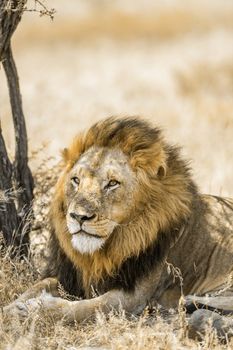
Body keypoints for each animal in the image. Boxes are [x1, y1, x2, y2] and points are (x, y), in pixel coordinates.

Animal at [3, 115, 233, 330]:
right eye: (76, 180)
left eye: (112, 183)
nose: (78, 217)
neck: (106, 251)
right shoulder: (73, 278)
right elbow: (38, 285)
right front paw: (11, 308)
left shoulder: (135, 295)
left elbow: (86, 307)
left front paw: (34, 310)